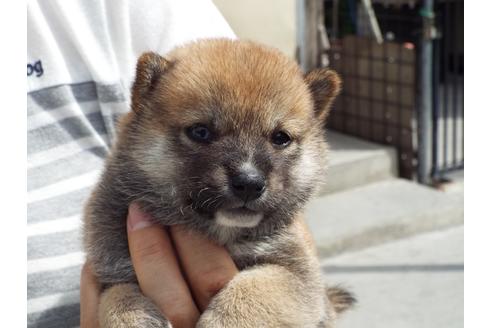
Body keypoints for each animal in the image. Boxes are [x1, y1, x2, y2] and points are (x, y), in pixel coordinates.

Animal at [84, 37, 354, 326]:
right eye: (200, 132)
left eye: (281, 138)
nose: (249, 183)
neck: (220, 230)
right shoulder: (113, 271)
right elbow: (117, 299)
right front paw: (134, 318)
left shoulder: (296, 273)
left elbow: (253, 290)